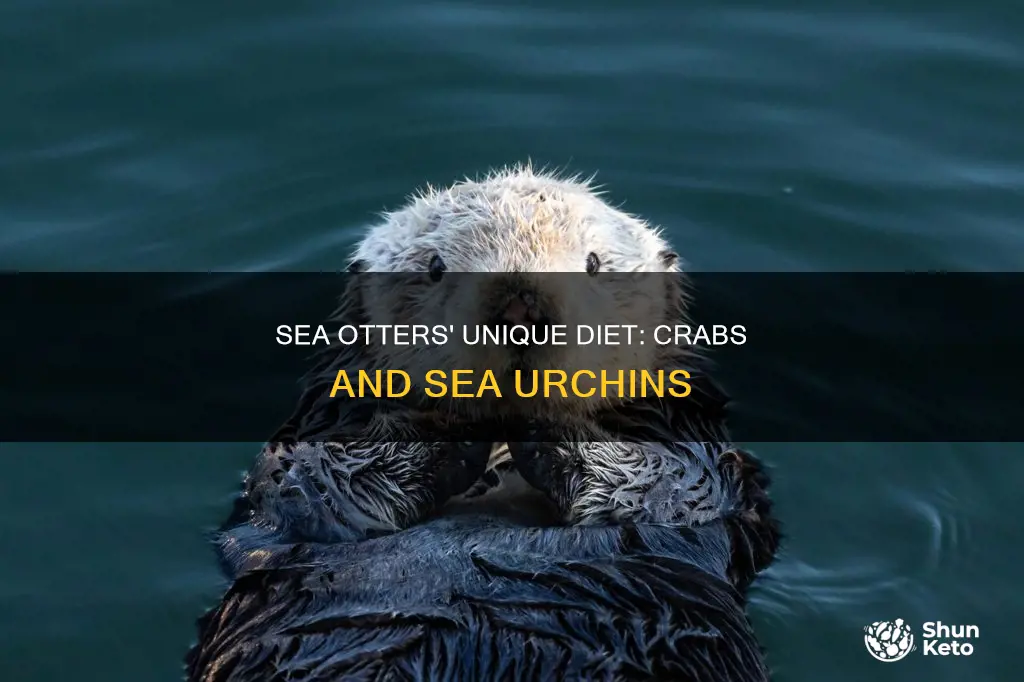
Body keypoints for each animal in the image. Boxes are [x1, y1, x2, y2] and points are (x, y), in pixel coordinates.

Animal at [185, 165, 781, 681]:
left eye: (593, 263)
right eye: (433, 267)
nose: (520, 311)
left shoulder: (701, 456)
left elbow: (672, 488)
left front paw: (548, 428)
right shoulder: (311, 445)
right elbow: (308, 483)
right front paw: (444, 429)